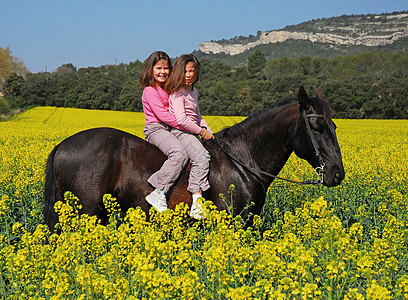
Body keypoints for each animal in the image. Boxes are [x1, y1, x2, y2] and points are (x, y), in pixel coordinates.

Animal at [43, 87, 344, 230]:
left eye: (334, 126)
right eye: (317, 126)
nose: (337, 174)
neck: (243, 161)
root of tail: (62, 145)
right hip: (88, 211)